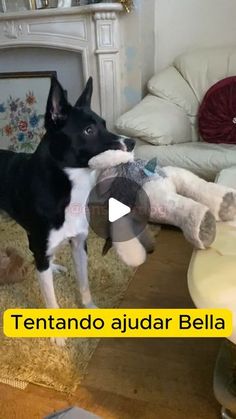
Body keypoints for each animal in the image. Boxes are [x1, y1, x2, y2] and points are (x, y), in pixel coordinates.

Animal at [0, 76, 135, 344]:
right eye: (89, 130)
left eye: (104, 124)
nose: (132, 142)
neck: (68, 185)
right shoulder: (43, 243)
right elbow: (51, 300)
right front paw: (57, 335)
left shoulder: (79, 243)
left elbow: (84, 282)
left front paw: (90, 308)